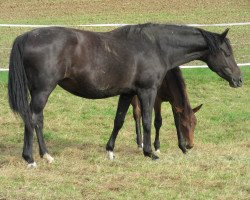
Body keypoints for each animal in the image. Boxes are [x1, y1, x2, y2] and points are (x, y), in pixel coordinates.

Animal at [8, 23, 242, 167]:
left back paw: (45, 155)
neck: (155, 46)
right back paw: (31, 159)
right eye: (226, 52)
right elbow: (148, 121)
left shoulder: (128, 93)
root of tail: (26, 36)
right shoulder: (148, 91)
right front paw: (150, 152)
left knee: (37, 120)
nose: (239, 79)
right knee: (32, 119)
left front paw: (110, 151)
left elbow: (119, 120)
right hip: (42, 90)